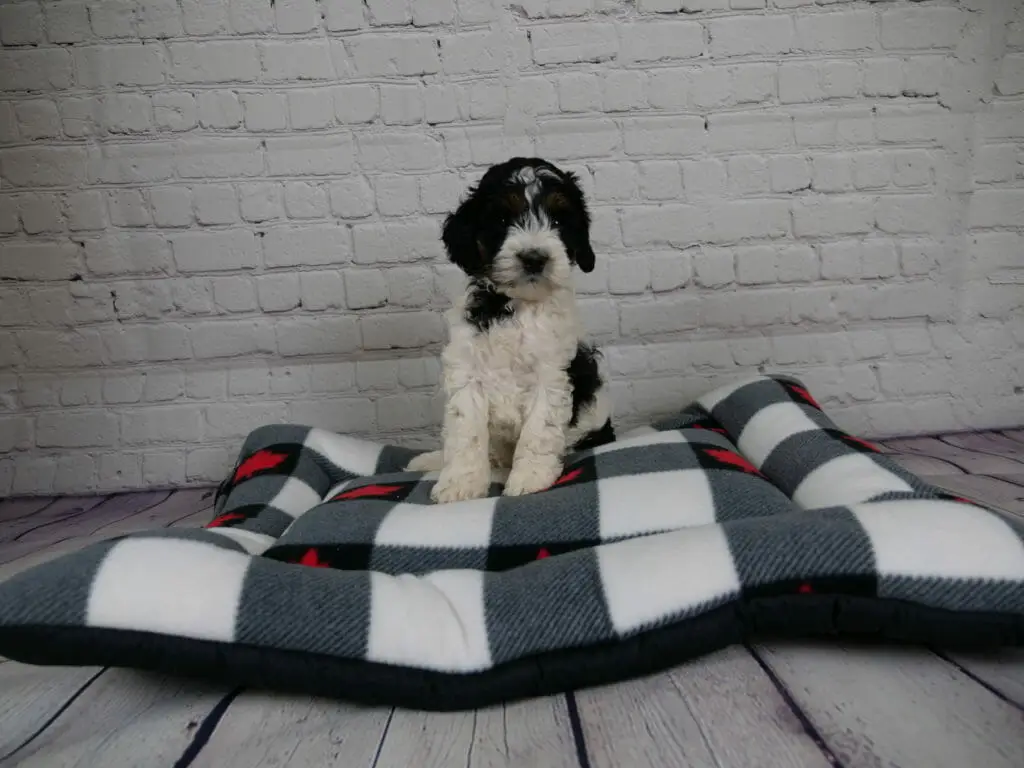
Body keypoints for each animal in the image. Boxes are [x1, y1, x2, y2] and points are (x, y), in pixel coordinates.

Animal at [405, 157, 614, 505]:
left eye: (559, 220)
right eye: (502, 218)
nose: (534, 258)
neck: (516, 306)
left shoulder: (551, 376)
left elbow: (539, 430)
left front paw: (530, 478)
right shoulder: (467, 373)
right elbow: (466, 433)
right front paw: (460, 484)